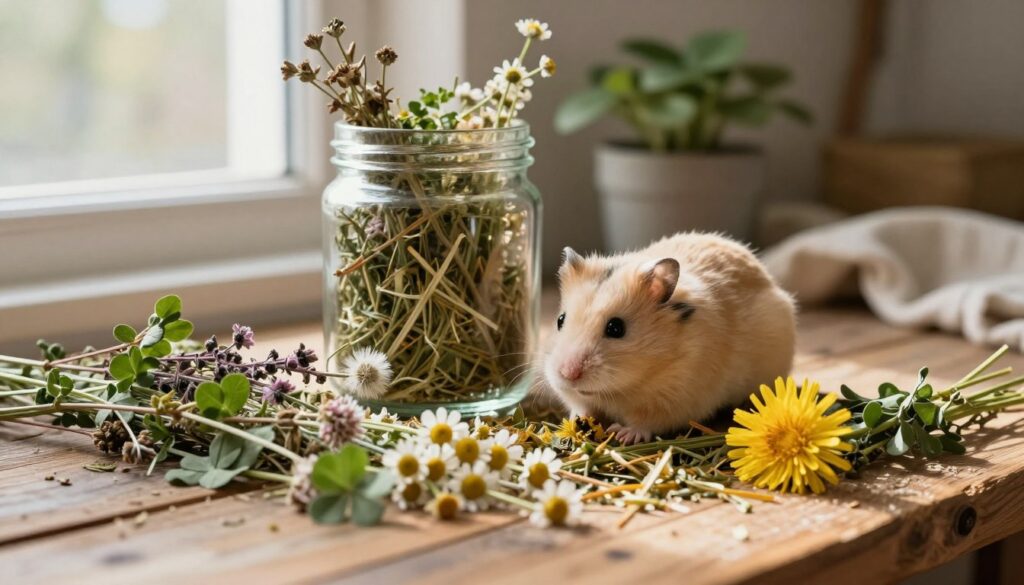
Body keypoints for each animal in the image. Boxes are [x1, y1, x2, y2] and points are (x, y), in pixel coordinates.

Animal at [543, 232, 796, 444]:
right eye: (560, 320)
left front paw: (623, 434)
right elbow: (582, 408)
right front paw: (574, 424)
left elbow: (645, 421)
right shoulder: (579, 397)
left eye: (616, 328)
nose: (567, 374)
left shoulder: (674, 400)